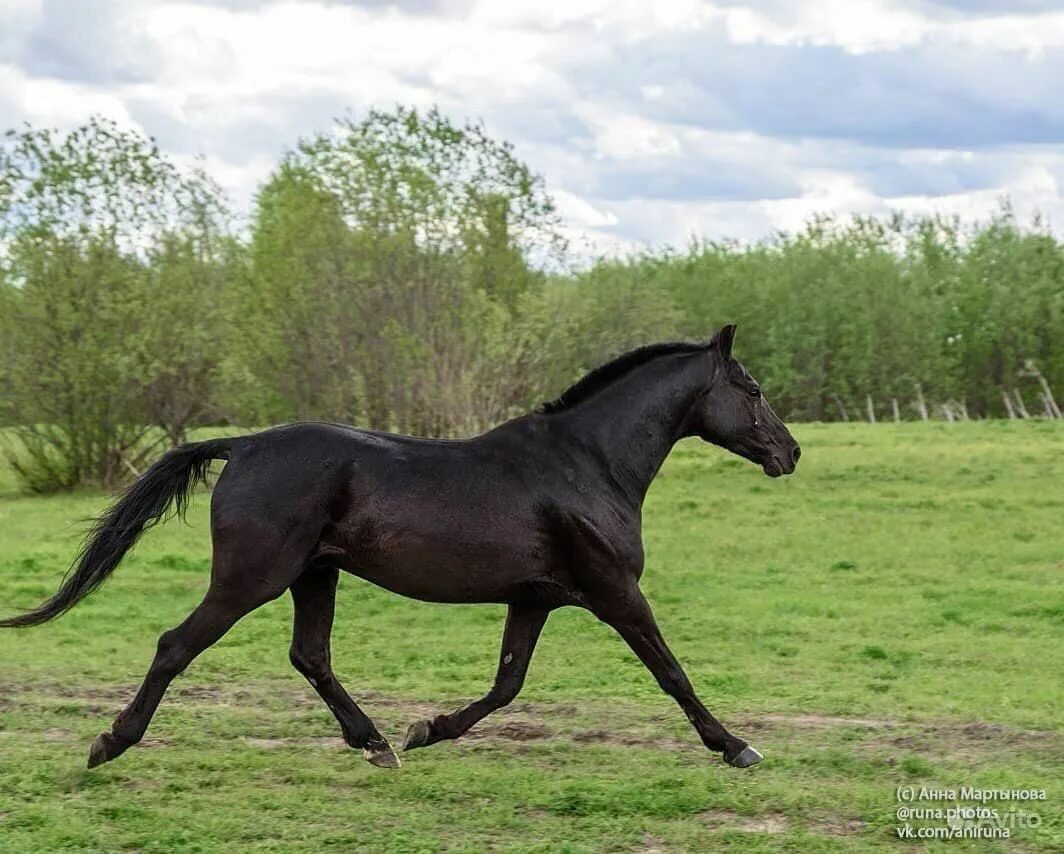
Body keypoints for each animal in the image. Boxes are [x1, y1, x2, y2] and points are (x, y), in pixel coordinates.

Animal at [0, 323, 800, 769]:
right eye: (753, 388)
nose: (789, 453)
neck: (587, 464)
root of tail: (245, 445)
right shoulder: (615, 593)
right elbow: (673, 674)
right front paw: (737, 746)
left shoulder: (537, 599)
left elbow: (506, 685)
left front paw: (427, 730)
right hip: (252, 578)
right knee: (176, 645)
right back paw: (110, 743)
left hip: (314, 575)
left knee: (310, 656)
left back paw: (377, 743)